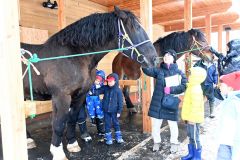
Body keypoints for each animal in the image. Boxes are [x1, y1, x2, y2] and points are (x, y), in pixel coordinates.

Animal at [21, 6, 158, 159]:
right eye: (136, 28)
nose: (154, 59)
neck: (74, 56)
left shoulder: (80, 95)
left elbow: (72, 118)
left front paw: (72, 143)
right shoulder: (61, 97)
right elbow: (58, 124)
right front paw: (57, 152)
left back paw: (28, 140)